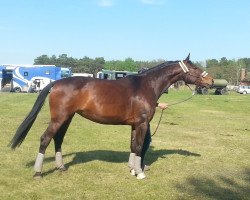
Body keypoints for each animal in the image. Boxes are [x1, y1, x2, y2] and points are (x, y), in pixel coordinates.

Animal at [9, 54, 213, 180]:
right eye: (195, 67)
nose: (211, 81)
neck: (146, 86)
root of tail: (56, 83)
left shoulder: (134, 125)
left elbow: (133, 146)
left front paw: (132, 169)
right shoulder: (142, 123)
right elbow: (139, 146)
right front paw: (140, 173)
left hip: (67, 118)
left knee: (58, 139)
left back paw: (61, 167)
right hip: (59, 118)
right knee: (45, 139)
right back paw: (38, 173)